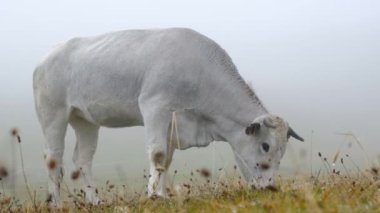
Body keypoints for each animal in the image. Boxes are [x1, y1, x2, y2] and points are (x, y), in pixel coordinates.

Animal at [34, 27, 304, 206]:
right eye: (265, 145)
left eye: (282, 151)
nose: (269, 187)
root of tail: (46, 57)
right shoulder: (155, 106)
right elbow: (158, 153)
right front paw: (153, 196)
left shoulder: (172, 124)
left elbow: (167, 159)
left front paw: (162, 194)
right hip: (53, 113)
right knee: (53, 158)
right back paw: (56, 204)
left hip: (85, 120)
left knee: (83, 158)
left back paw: (95, 201)